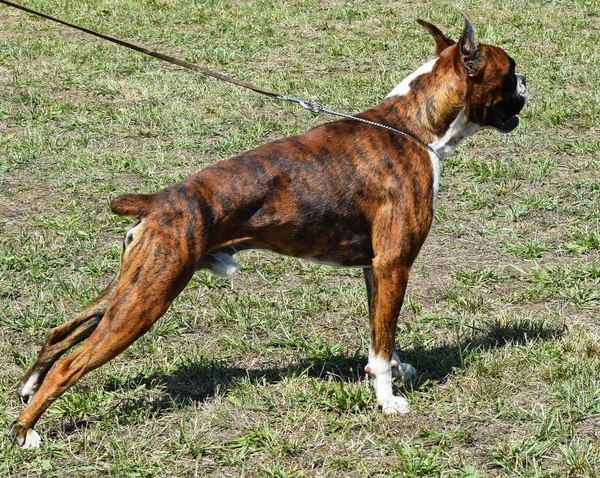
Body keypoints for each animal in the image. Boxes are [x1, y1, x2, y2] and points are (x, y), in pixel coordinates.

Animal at [8, 14, 524, 448]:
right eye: (511, 69)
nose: (527, 83)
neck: (413, 127)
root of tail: (157, 201)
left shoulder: (377, 270)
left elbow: (385, 332)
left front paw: (399, 370)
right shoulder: (394, 263)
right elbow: (380, 346)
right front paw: (387, 399)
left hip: (133, 285)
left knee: (61, 332)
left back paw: (27, 388)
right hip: (149, 297)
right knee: (71, 364)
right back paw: (25, 432)